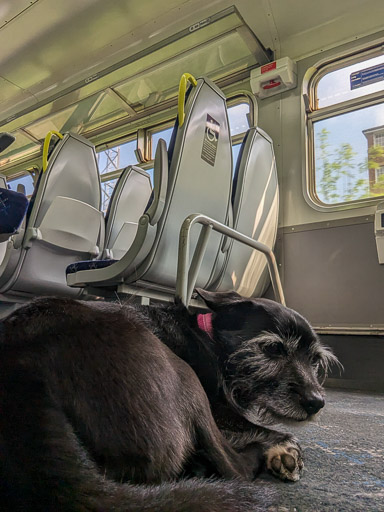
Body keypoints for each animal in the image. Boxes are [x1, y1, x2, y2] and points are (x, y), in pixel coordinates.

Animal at [0, 290, 336, 510]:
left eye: (314, 360)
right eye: (273, 348)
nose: (316, 403)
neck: (210, 340)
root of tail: (20, 367)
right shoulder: (219, 408)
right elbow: (267, 429)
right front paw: (286, 449)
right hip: (186, 377)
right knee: (235, 468)